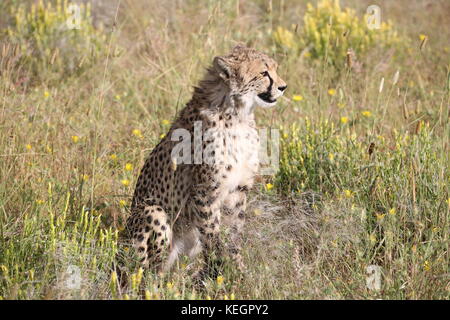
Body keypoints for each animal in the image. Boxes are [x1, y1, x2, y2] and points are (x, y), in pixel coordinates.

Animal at [125, 43, 288, 278]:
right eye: (264, 73)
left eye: (275, 69)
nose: (283, 87)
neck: (237, 114)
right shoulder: (205, 192)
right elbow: (213, 236)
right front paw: (221, 272)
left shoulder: (238, 190)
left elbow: (234, 235)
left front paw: (237, 270)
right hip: (153, 213)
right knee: (148, 272)